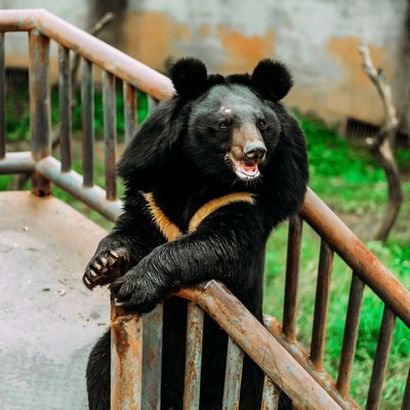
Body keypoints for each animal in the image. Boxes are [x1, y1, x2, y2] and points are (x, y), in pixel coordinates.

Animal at [83, 58, 308, 410]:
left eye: (262, 123)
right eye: (224, 122)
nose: (255, 151)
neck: (202, 177)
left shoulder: (247, 200)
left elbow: (217, 245)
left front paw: (133, 285)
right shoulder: (153, 195)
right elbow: (133, 228)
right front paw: (102, 266)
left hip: (253, 375)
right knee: (100, 371)